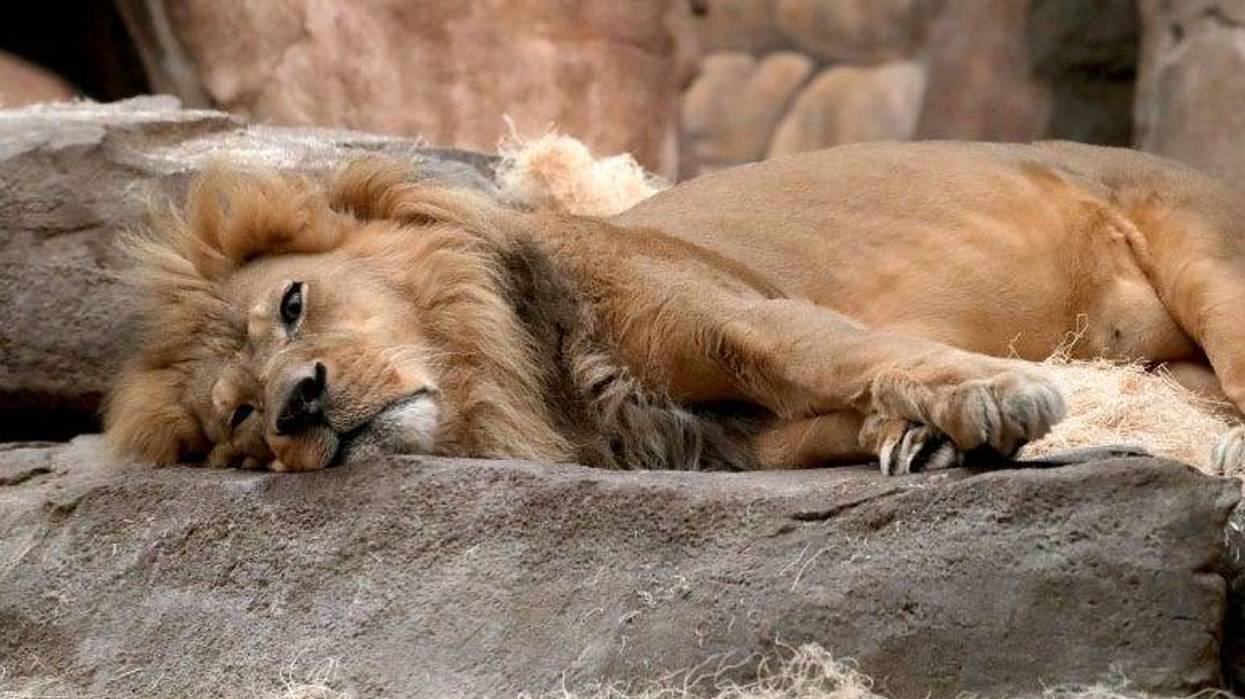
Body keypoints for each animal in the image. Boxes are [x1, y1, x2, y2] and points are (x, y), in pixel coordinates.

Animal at [105, 140, 1245, 475]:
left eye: (294, 303)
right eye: (238, 419)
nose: (296, 404)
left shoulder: (740, 314)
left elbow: (836, 348)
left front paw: (997, 399)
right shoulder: (744, 442)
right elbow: (837, 405)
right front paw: (918, 437)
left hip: (1211, 260)